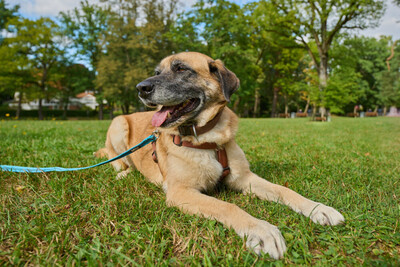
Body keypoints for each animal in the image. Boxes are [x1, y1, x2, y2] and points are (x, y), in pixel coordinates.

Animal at [97, 51, 344, 260]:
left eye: (181, 68)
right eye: (157, 73)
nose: (141, 88)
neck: (208, 139)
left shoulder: (245, 178)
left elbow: (284, 190)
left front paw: (318, 208)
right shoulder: (181, 191)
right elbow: (227, 206)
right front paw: (261, 230)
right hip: (118, 124)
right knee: (121, 162)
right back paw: (124, 174)